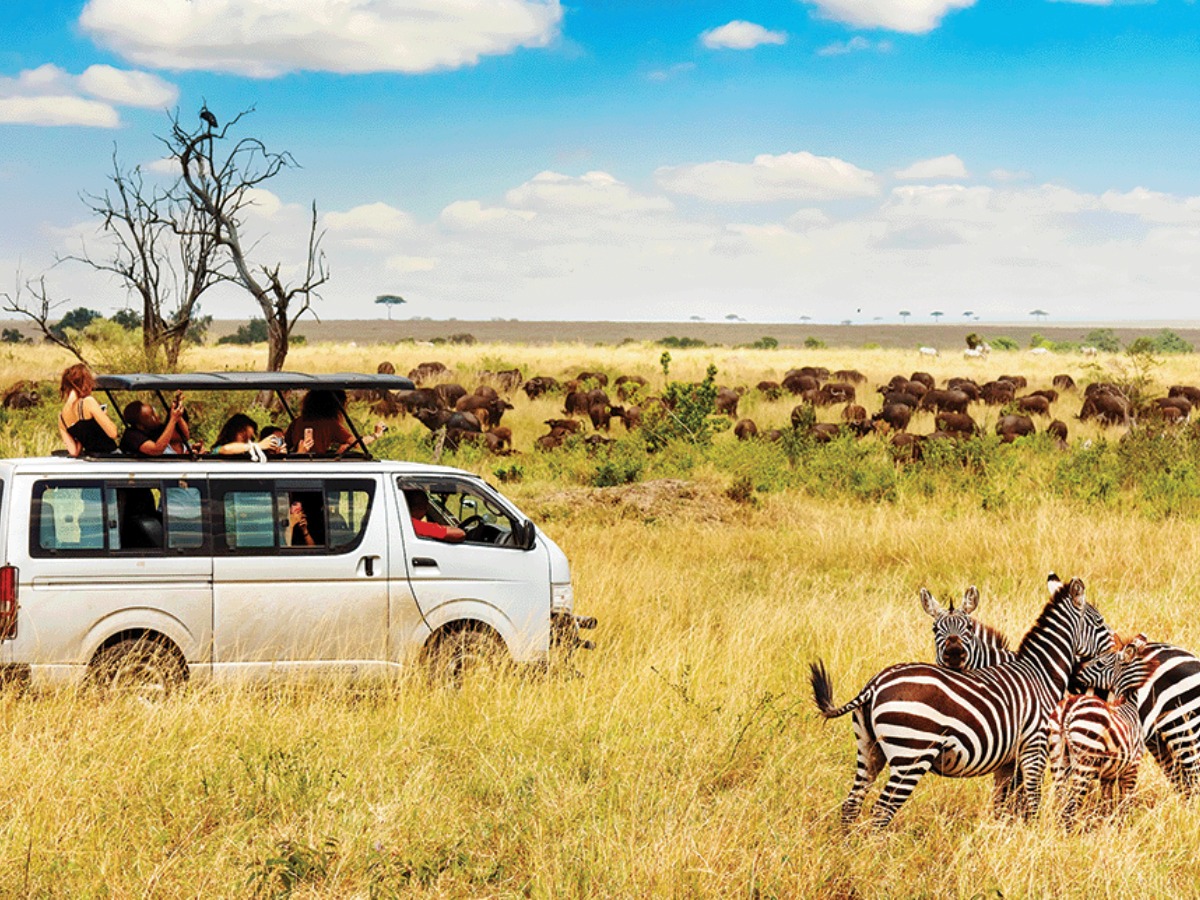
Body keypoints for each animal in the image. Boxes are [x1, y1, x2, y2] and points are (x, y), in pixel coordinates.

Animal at [811, 575, 1112, 828]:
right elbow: (1032, 802)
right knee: (881, 812)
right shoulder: (1034, 746)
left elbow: (1004, 805)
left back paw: (849, 851)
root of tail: (874, 685)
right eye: (1100, 624)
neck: (1040, 672)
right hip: (911, 753)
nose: (1116, 647)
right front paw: (1032, 836)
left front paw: (1004, 836)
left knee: (851, 805)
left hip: (868, 749)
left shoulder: (1008, 759)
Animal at [926, 596, 1200, 796]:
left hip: (1185, 730)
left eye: (969, 629)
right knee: (1183, 782)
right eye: (934, 629)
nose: (953, 655)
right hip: (1158, 740)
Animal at [1050, 636, 1158, 825]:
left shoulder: (1108, 775)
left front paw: (1108, 824)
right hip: (1085, 761)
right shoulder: (1132, 767)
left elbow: (1107, 802)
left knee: (1061, 800)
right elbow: (1125, 802)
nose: (1072, 674)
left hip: (1058, 757)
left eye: (1099, 663)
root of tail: (1068, 709)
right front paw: (1125, 825)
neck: (1128, 704)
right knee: (1071, 804)